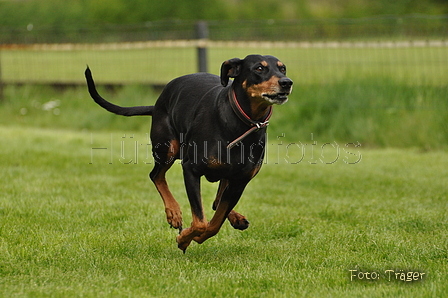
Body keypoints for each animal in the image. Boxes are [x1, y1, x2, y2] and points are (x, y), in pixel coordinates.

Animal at [85, 54, 292, 251]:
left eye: (282, 68)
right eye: (259, 68)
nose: (287, 82)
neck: (240, 122)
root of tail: (158, 102)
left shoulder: (239, 182)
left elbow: (213, 224)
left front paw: (195, 236)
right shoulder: (191, 170)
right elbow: (201, 222)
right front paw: (184, 238)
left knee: (217, 201)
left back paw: (234, 218)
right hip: (168, 147)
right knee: (156, 175)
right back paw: (173, 213)